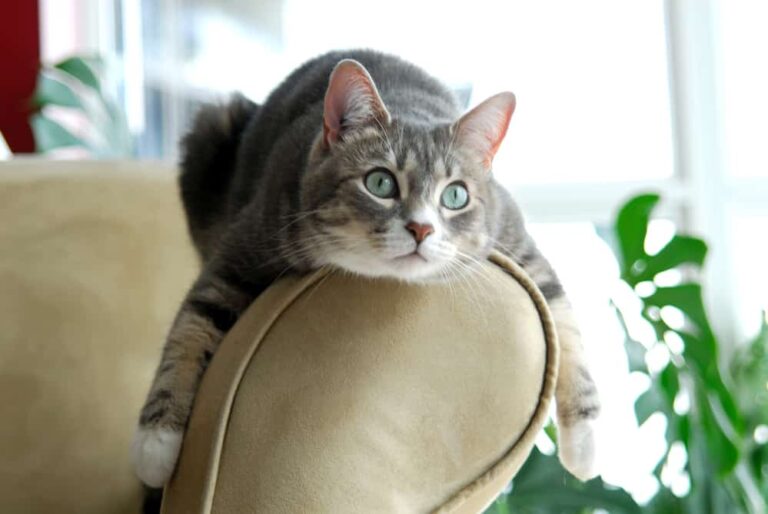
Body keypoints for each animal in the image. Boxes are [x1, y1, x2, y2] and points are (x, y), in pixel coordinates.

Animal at [130, 48, 600, 488]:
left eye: (456, 195)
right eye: (380, 182)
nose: (421, 228)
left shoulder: (515, 239)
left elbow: (565, 322)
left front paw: (584, 445)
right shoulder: (248, 241)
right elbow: (193, 325)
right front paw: (156, 446)